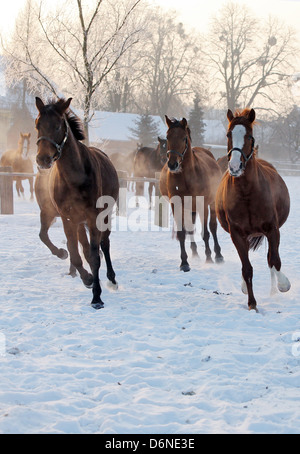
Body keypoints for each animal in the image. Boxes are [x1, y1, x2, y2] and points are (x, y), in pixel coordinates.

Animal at [35, 95, 119, 308]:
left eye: (57, 125)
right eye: (37, 124)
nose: (43, 159)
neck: (75, 178)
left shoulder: (94, 218)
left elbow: (96, 255)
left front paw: (97, 297)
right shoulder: (68, 218)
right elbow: (75, 252)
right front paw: (87, 278)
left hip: (104, 216)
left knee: (105, 245)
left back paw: (112, 279)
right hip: (78, 222)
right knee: (83, 247)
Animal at [216, 108, 290, 310]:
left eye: (249, 136)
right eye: (228, 134)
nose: (235, 166)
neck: (247, 194)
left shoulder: (272, 229)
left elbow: (274, 260)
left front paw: (283, 285)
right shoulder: (237, 234)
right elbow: (247, 268)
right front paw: (252, 303)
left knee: (271, 258)